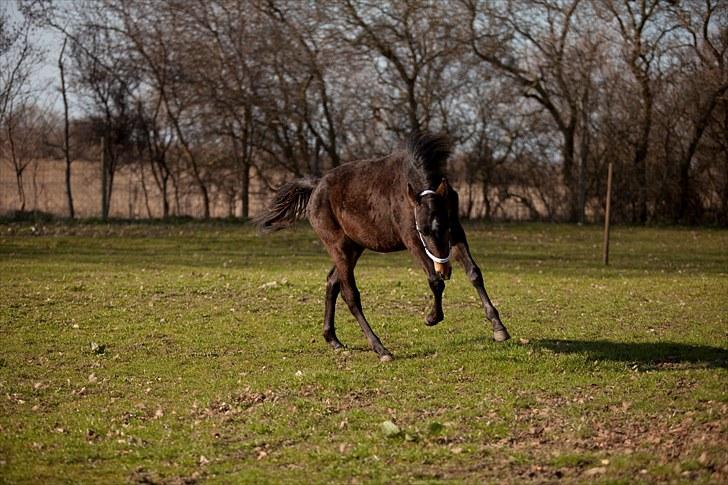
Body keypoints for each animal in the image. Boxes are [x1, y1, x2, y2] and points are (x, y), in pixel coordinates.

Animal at [256, 131, 512, 360]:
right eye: (422, 231)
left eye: (446, 227)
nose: (445, 269)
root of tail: (316, 187)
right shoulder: (412, 241)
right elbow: (435, 282)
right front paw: (431, 317)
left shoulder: (456, 232)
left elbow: (474, 273)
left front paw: (499, 328)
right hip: (338, 247)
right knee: (350, 295)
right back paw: (381, 349)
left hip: (354, 247)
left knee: (332, 282)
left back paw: (333, 339)